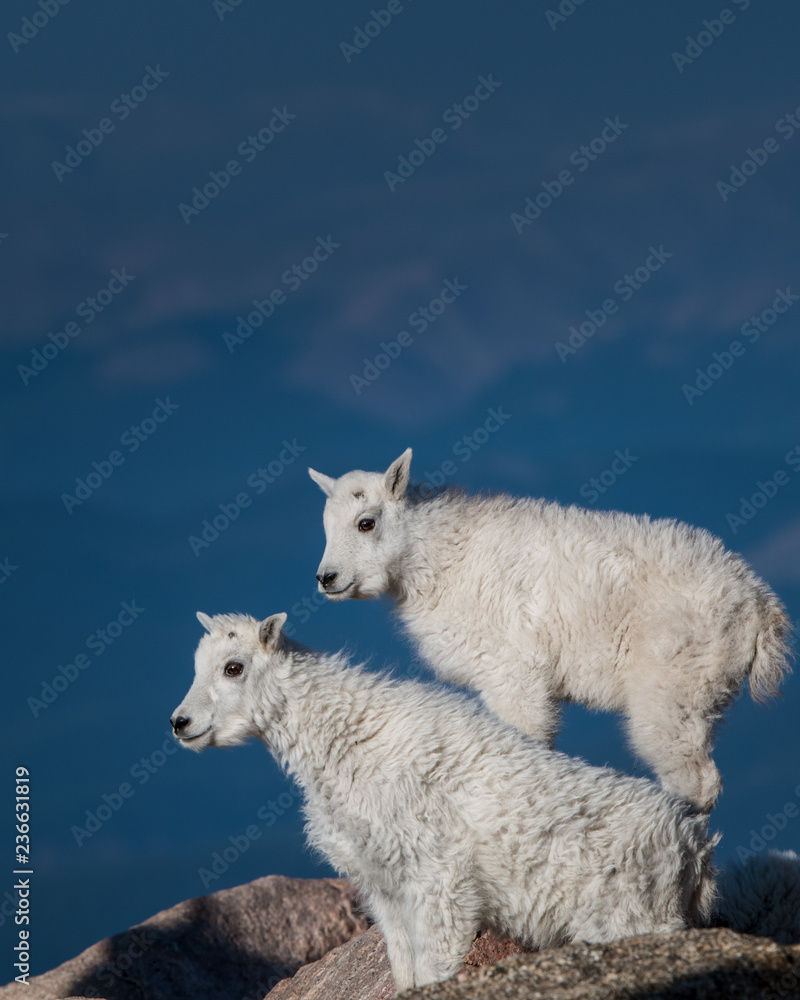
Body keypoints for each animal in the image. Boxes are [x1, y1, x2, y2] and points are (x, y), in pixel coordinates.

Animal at [171, 611, 718, 992]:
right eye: (197, 667)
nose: (180, 724)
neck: (348, 741)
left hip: (632, 918)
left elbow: (436, 964)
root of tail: (695, 850)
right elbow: (403, 967)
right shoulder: (383, 885)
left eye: (234, 667)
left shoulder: (439, 879)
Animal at [309, 449, 792, 812]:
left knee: (693, 781)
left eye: (366, 522)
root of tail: (758, 605)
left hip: (674, 688)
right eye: (326, 526)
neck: (440, 557)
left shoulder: (513, 674)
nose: (327, 579)